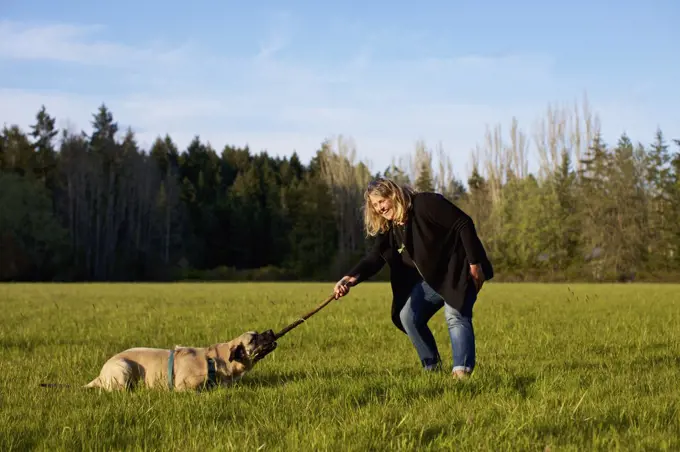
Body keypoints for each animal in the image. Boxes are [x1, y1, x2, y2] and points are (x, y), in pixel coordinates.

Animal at [82, 330, 276, 390]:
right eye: (253, 339)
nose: (270, 331)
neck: (214, 360)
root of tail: (100, 376)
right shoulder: (183, 386)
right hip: (123, 367)